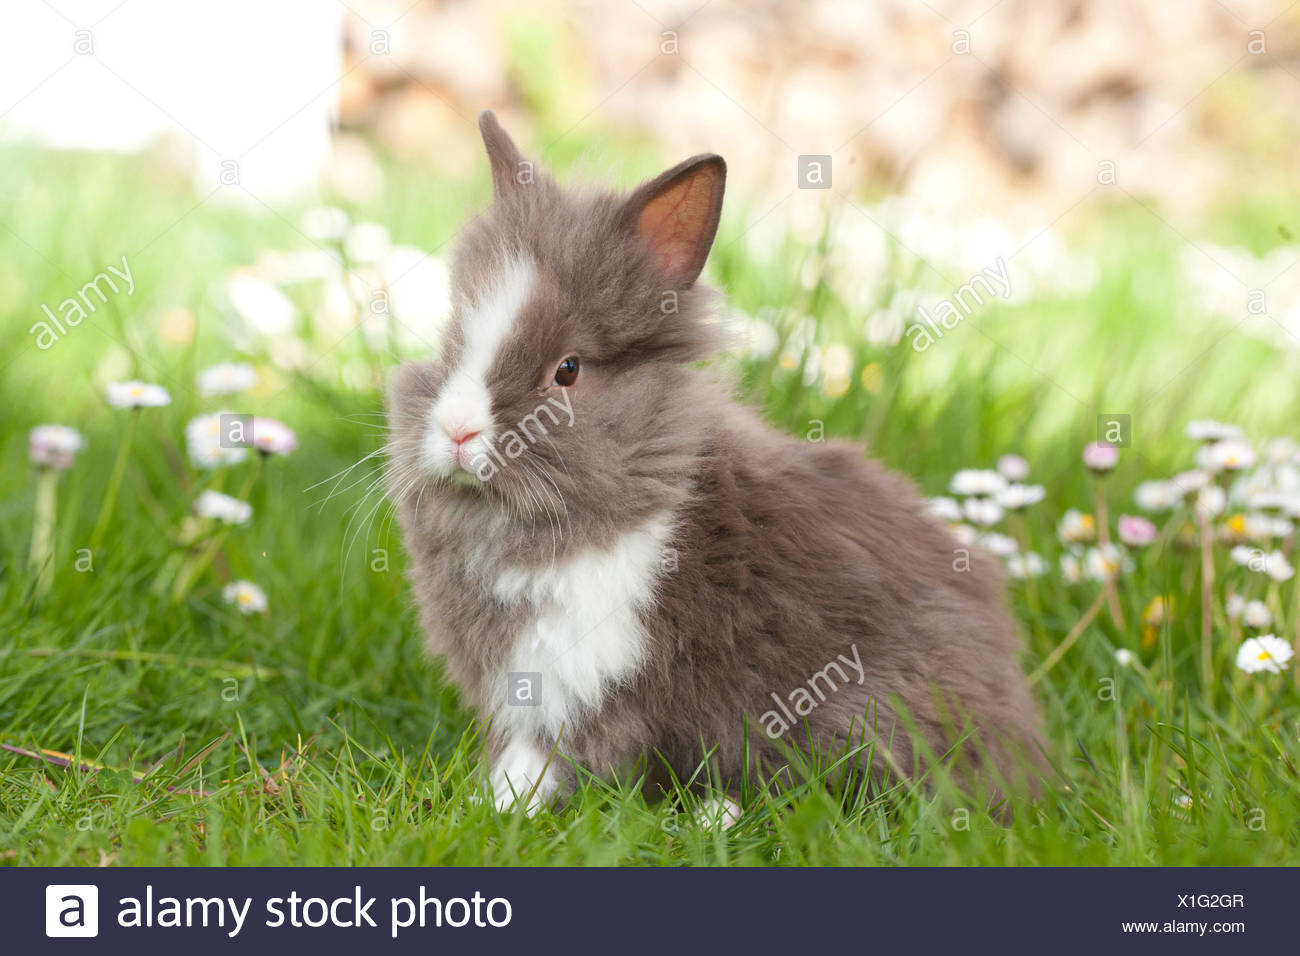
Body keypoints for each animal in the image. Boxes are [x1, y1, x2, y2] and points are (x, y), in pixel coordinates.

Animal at [384, 110, 1045, 816]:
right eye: (453, 345)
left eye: (567, 370)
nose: (456, 431)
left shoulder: (579, 676)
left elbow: (547, 758)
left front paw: (500, 808)